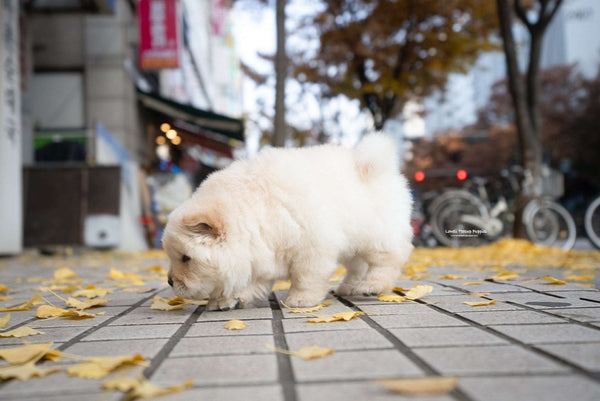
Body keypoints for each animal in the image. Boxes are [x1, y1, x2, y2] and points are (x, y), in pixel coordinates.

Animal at [162, 134, 414, 310]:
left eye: (186, 258)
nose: (170, 282)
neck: (256, 211)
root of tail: (376, 166)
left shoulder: (313, 249)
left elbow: (306, 278)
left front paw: (300, 300)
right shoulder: (262, 254)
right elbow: (252, 282)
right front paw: (227, 300)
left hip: (376, 235)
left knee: (390, 258)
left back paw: (372, 285)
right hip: (353, 243)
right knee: (358, 266)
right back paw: (350, 287)